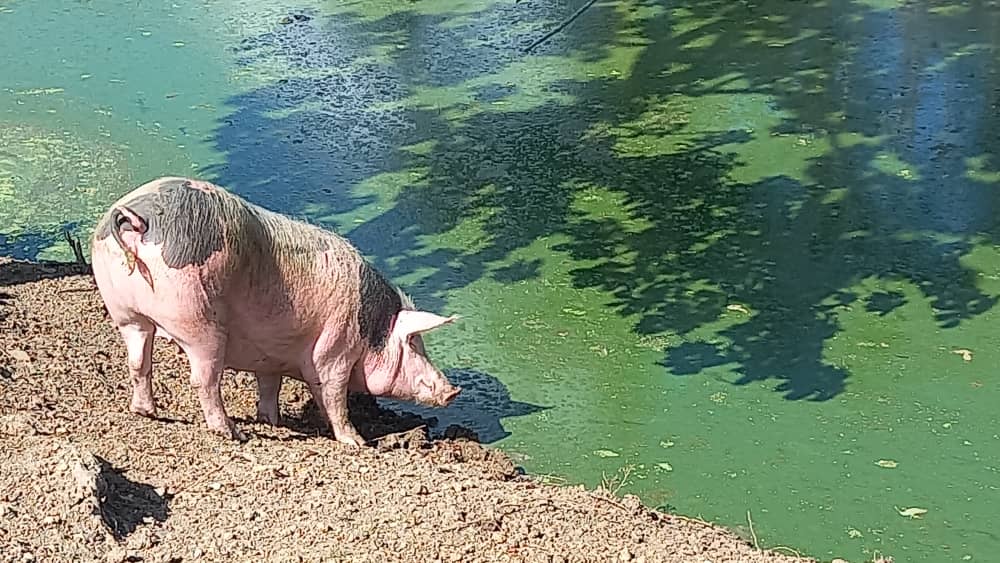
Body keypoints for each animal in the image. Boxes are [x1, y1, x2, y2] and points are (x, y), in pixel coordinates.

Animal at [89, 176, 461, 446]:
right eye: (415, 344)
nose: (453, 390)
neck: (372, 331)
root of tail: (140, 219)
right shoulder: (334, 352)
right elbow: (332, 397)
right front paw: (356, 443)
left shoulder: (268, 359)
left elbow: (269, 387)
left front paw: (272, 419)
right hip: (199, 325)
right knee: (204, 380)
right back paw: (233, 433)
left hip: (126, 313)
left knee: (138, 361)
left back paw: (145, 411)